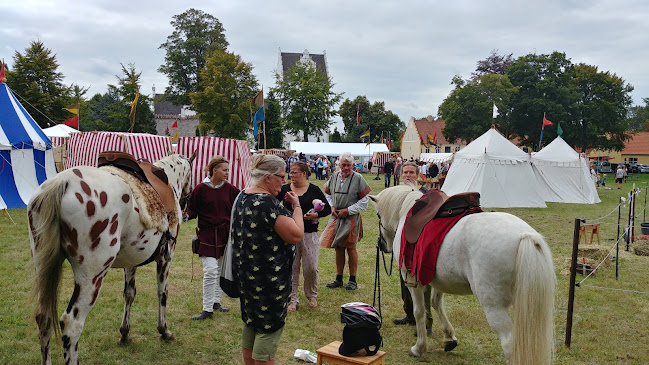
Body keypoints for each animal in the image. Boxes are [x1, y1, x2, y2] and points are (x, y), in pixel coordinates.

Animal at [27, 152, 194, 362]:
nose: (187, 203)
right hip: (92, 276)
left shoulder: (131, 262)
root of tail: (62, 182)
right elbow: (162, 293)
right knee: (72, 325)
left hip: (42, 267)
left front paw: (125, 334)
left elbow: (129, 294)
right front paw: (164, 331)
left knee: (44, 318)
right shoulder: (166, 258)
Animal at [372, 186, 556, 362]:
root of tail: (524, 235)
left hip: (494, 307)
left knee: (509, 344)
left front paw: (419, 348)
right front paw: (449, 338)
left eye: (378, 215)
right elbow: (436, 303)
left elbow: (419, 311)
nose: (382, 245)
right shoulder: (438, 279)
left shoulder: (411, 278)